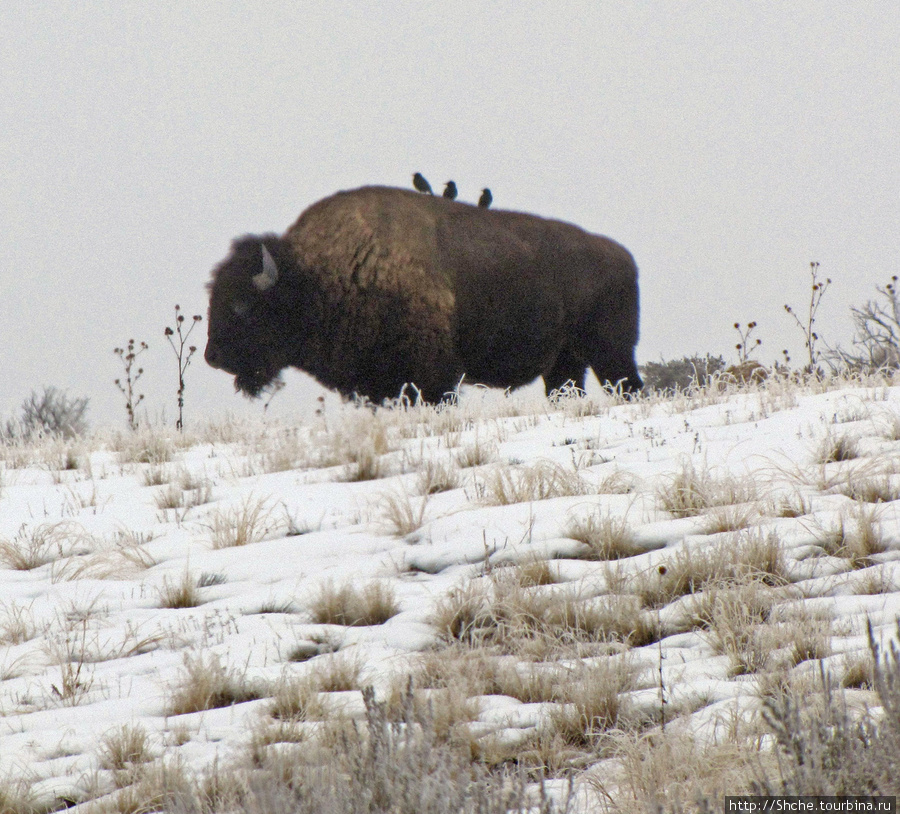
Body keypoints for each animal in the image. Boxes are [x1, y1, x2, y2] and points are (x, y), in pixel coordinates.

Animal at [204, 183, 640, 404]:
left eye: (242, 306)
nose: (212, 357)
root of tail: (622, 256)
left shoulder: (435, 378)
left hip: (611, 353)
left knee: (630, 386)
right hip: (565, 364)